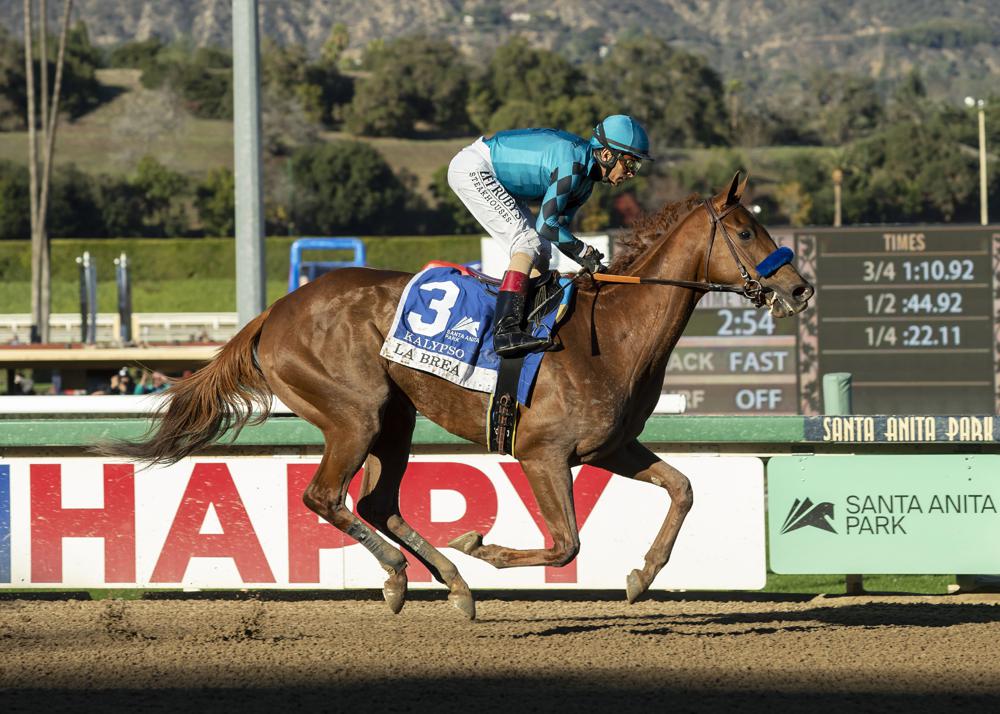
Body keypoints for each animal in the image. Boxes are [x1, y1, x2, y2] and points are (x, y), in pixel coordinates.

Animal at [103, 174, 812, 616]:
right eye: (745, 232)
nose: (800, 288)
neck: (615, 329)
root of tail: (273, 312)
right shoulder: (541, 453)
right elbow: (566, 543)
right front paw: (482, 544)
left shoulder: (608, 447)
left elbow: (683, 489)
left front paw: (642, 577)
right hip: (355, 415)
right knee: (326, 497)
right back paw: (403, 577)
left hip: (395, 420)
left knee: (377, 501)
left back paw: (451, 585)